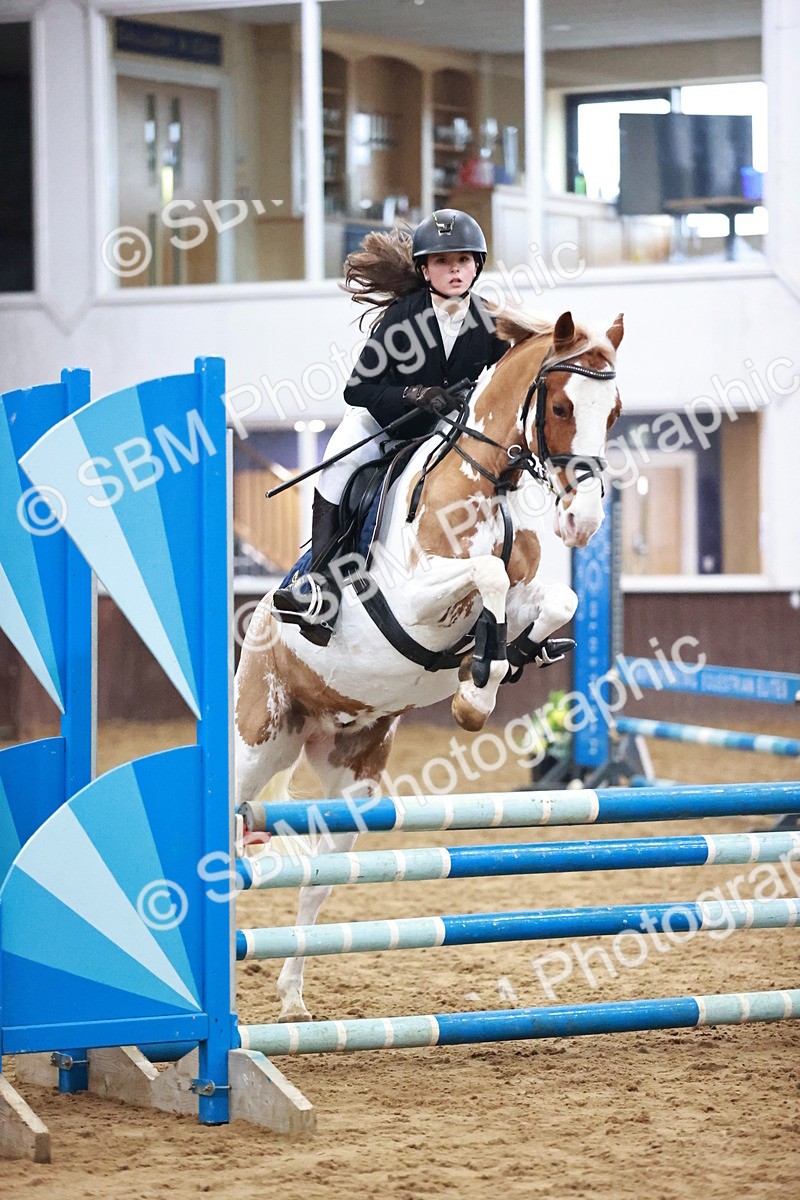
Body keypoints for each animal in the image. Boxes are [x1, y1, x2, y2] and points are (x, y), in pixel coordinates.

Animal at [235, 307, 623, 1021]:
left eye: (613, 412)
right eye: (559, 406)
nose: (582, 523)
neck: (487, 480)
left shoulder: (526, 595)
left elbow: (554, 599)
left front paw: (497, 669)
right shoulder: (414, 602)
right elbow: (487, 575)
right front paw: (476, 693)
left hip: (351, 783)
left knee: (315, 881)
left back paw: (293, 999)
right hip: (256, 745)